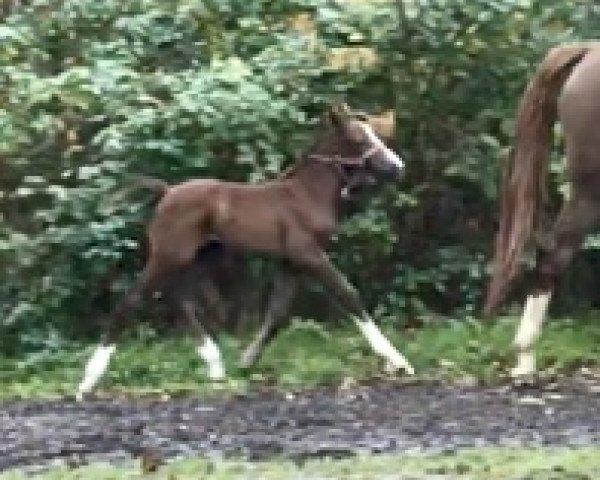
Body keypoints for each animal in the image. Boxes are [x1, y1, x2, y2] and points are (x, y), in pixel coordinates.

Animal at [75, 103, 414, 400]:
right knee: (132, 301)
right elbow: (348, 294)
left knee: (179, 298)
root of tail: (167, 191)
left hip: (206, 256)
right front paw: (398, 361)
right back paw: (88, 381)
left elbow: (277, 312)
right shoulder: (308, 255)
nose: (397, 168)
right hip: (169, 255)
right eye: (358, 138)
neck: (305, 195)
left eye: (377, 134)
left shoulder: (290, 262)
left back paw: (215, 366)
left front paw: (247, 360)